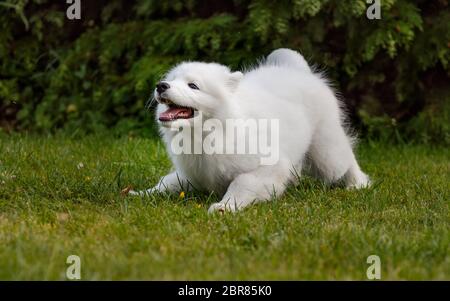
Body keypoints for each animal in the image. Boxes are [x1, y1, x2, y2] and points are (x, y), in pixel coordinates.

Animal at [130, 48, 370, 212]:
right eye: (172, 80)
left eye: (193, 86)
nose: (161, 85)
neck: (212, 131)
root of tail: (299, 71)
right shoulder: (193, 173)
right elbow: (167, 182)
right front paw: (140, 194)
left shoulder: (268, 167)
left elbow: (242, 184)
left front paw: (225, 207)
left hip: (326, 151)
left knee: (346, 161)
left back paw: (358, 184)